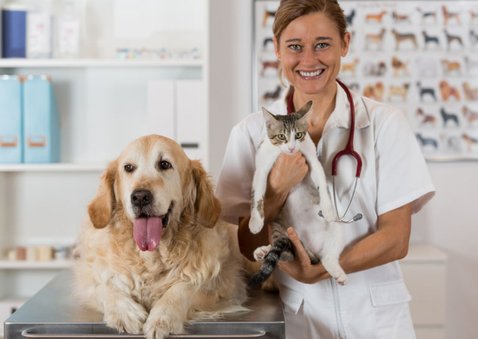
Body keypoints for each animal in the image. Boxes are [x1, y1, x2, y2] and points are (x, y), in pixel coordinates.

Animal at [248, 102, 346, 288]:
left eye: (298, 135)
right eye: (281, 136)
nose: (292, 147)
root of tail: (309, 248)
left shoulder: (312, 159)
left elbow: (321, 182)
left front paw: (327, 208)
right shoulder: (262, 165)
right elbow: (258, 193)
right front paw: (256, 221)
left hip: (336, 228)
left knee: (326, 257)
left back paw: (337, 272)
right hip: (278, 224)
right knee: (287, 253)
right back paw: (264, 251)